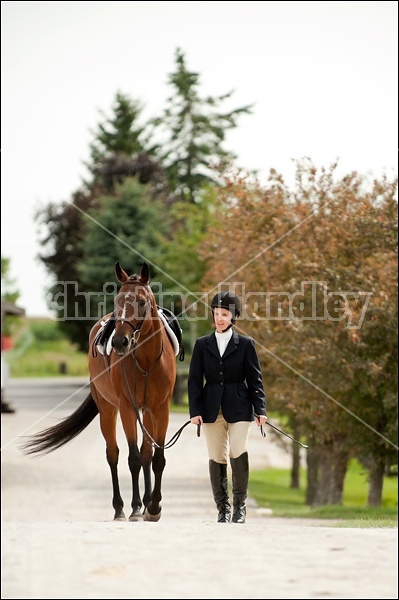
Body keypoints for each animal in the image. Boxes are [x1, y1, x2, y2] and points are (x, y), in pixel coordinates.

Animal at [21, 262, 178, 520]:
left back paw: (146, 503)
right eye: (117, 300)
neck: (145, 361)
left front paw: (153, 507)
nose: (120, 342)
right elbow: (133, 458)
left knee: (146, 453)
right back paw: (121, 508)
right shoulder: (127, 408)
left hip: (145, 413)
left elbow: (157, 459)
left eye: (142, 301)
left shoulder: (160, 409)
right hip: (107, 410)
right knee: (113, 454)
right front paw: (136, 508)